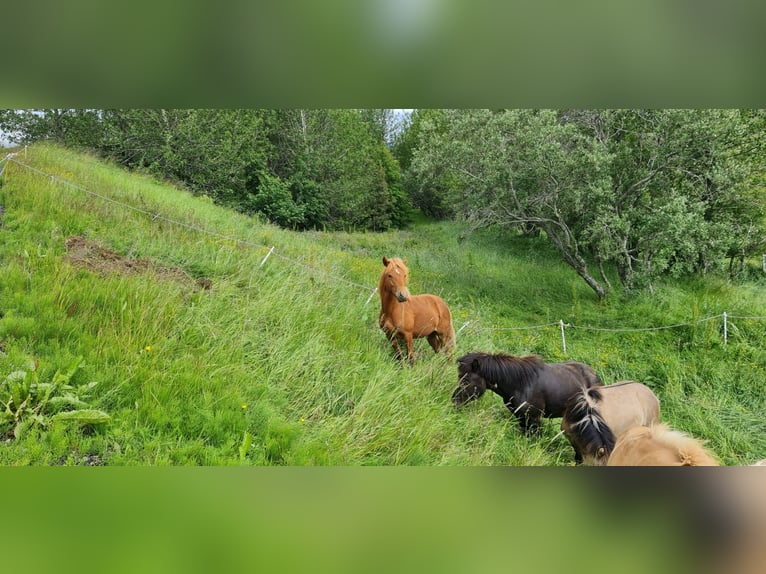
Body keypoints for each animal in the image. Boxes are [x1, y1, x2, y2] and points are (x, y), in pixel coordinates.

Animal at [450, 352, 608, 436]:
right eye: (459, 376)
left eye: (466, 379)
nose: (454, 402)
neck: (520, 383)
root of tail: (596, 377)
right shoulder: (521, 418)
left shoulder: (535, 419)